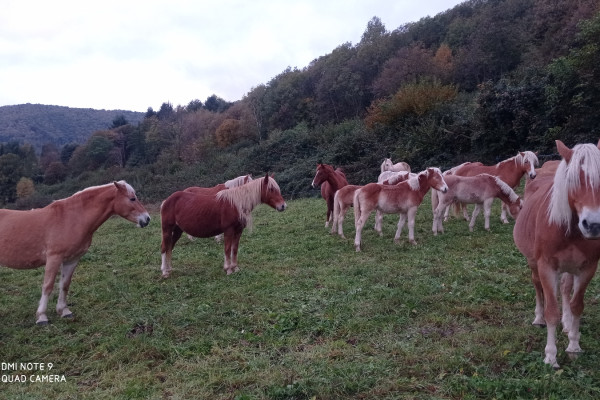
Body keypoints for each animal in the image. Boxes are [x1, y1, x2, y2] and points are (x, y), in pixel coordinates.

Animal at [0, 181, 150, 324]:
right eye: (132, 198)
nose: (147, 219)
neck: (71, 218)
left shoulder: (72, 260)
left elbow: (65, 285)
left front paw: (64, 311)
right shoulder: (54, 258)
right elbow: (48, 286)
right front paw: (42, 317)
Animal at [510, 141, 600, 368]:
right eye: (572, 179)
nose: (593, 225)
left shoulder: (587, 268)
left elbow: (577, 305)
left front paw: (574, 345)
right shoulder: (547, 267)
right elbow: (551, 311)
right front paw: (550, 355)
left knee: (566, 289)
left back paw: (567, 324)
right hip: (533, 263)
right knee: (538, 286)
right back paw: (538, 318)